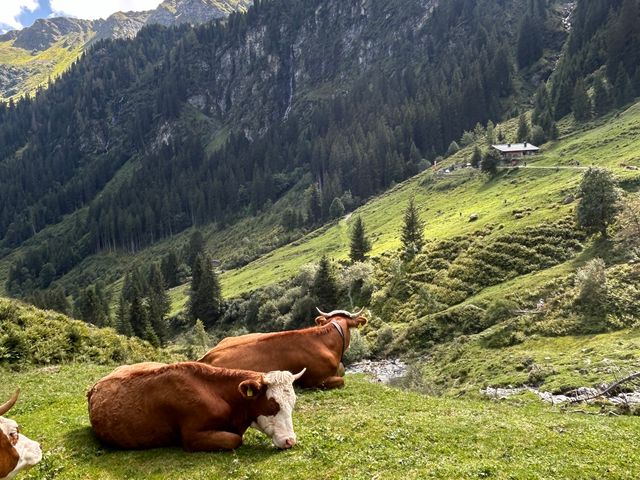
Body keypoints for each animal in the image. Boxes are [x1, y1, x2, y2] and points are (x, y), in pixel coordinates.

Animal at [87, 362, 305, 451]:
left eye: (292, 404)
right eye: (272, 406)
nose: (290, 441)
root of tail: (95, 386)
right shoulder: (191, 436)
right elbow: (235, 440)